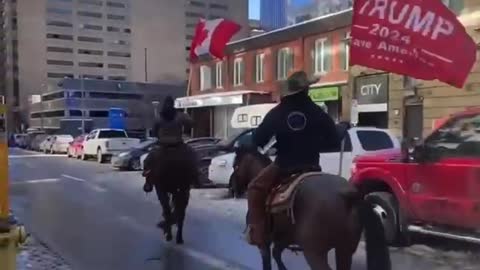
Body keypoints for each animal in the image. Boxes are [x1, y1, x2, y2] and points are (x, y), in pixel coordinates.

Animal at [231, 147, 392, 270]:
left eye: (235, 166)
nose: (232, 187)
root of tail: (347, 195)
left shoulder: (264, 243)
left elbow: (268, 262)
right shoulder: (285, 238)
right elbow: (276, 253)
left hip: (315, 253)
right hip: (345, 250)